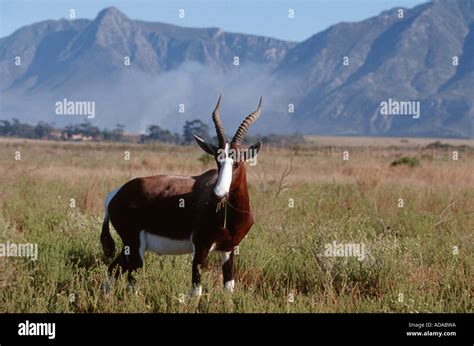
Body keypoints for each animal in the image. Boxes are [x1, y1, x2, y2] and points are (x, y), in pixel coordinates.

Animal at [100, 96, 262, 296]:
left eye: (237, 161)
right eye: (218, 159)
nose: (218, 195)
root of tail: (114, 194)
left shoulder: (229, 249)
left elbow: (228, 288)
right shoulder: (200, 248)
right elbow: (196, 290)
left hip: (130, 248)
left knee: (113, 271)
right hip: (134, 246)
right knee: (129, 278)